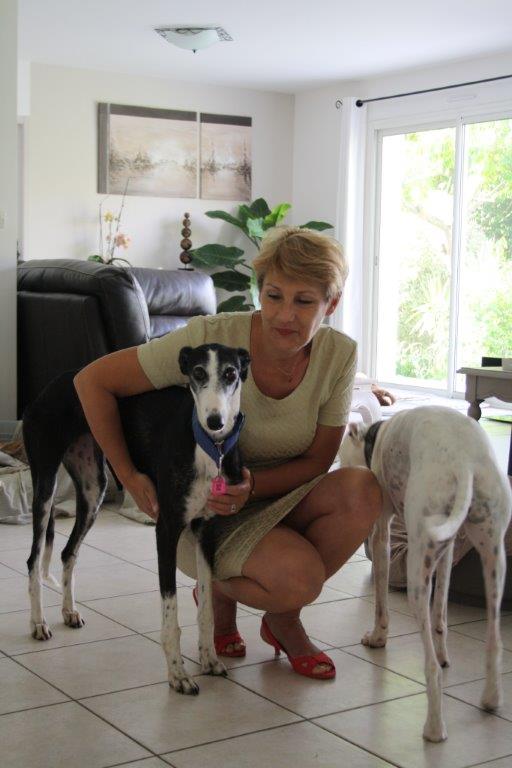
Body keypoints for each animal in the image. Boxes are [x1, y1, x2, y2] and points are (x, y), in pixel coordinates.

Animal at [23, 343, 250, 695]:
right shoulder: (166, 530)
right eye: (198, 372)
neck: (207, 448)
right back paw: (38, 623)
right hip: (45, 485)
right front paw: (178, 676)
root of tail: (56, 383)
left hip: (93, 489)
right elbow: (171, 614)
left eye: (231, 373)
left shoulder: (206, 531)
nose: (215, 421)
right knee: (34, 558)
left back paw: (69, 611)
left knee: (67, 552)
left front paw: (209, 660)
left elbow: (207, 608)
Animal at [338, 405, 511, 742]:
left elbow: (380, 603)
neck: (375, 435)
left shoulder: (382, 533)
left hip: (417, 573)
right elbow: (441, 615)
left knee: (431, 668)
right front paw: (445, 653)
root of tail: (464, 462)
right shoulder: (447, 550)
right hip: (492, 559)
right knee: (494, 641)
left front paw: (377, 637)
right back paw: (490, 698)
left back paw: (434, 727)